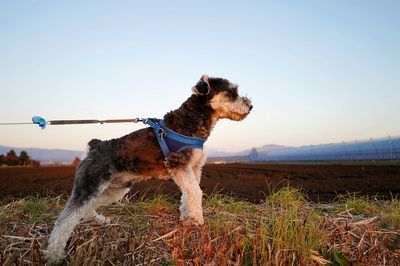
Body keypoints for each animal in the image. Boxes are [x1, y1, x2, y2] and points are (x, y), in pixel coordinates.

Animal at [45, 75, 252, 264]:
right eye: (231, 92)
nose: (250, 106)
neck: (190, 121)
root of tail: (95, 145)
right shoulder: (179, 165)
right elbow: (195, 192)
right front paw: (198, 221)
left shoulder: (193, 169)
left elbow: (188, 194)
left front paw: (187, 218)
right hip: (89, 185)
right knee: (66, 218)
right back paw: (53, 254)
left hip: (114, 189)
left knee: (87, 208)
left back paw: (99, 220)